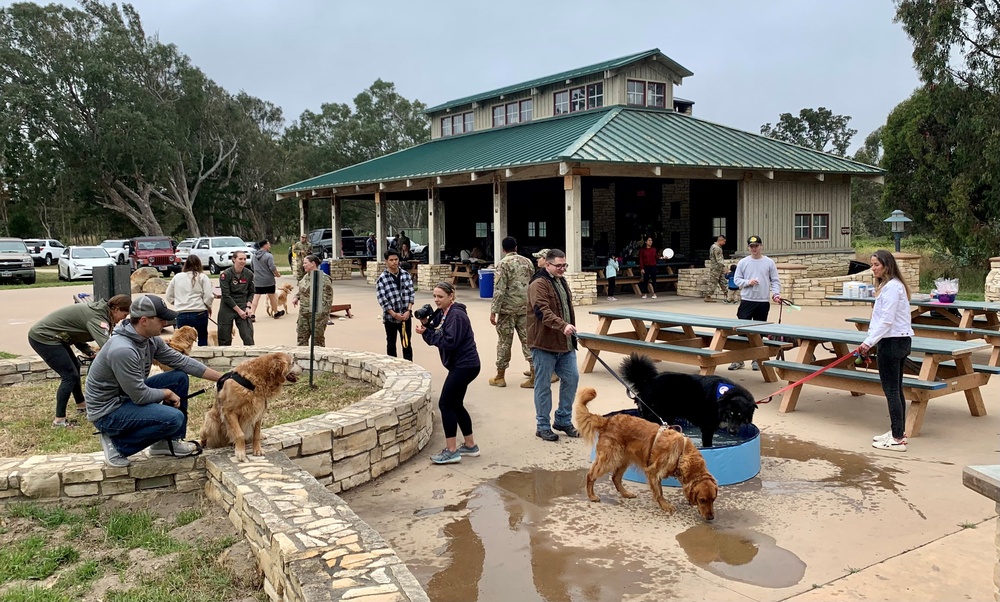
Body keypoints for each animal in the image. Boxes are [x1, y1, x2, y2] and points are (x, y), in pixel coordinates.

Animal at [572, 384, 720, 520]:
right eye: (702, 500)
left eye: (713, 499)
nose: (711, 518)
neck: (682, 453)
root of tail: (608, 420)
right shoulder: (653, 471)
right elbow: (659, 492)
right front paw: (665, 506)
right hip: (610, 458)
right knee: (591, 475)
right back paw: (592, 495)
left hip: (623, 459)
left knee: (615, 478)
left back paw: (625, 493)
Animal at [620, 352, 752, 446]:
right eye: (731, 413)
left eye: (740, 415)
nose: (733, 432)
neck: (721, 400)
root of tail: (646, 381)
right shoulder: (707, 427)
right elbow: (708, 445)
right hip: (657, 416)